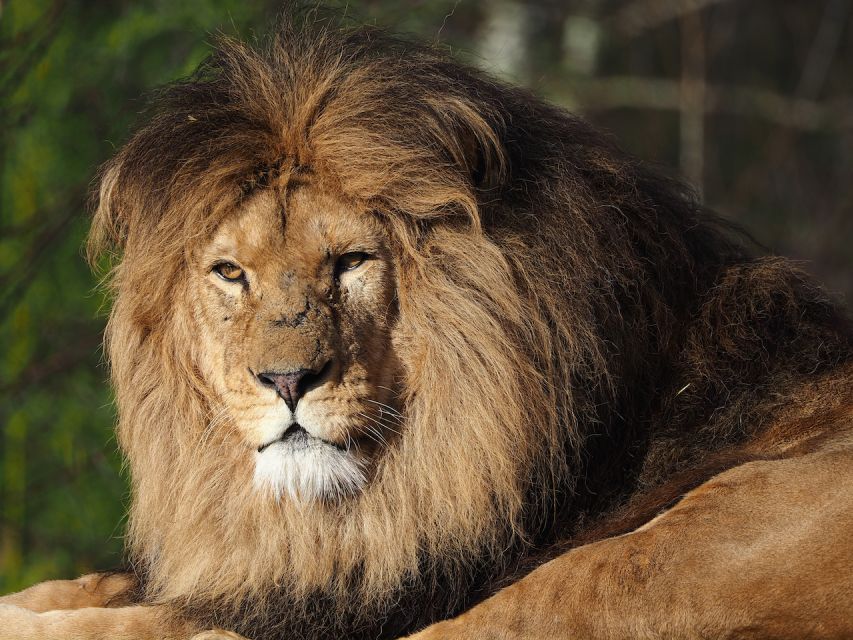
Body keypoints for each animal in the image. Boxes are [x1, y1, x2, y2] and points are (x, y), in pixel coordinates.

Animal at [2, 13, 852, 640]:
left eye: (350, 261)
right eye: (230, 273)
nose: (286, 380)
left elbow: (161, 620)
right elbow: (103, 584)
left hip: (699, 541)